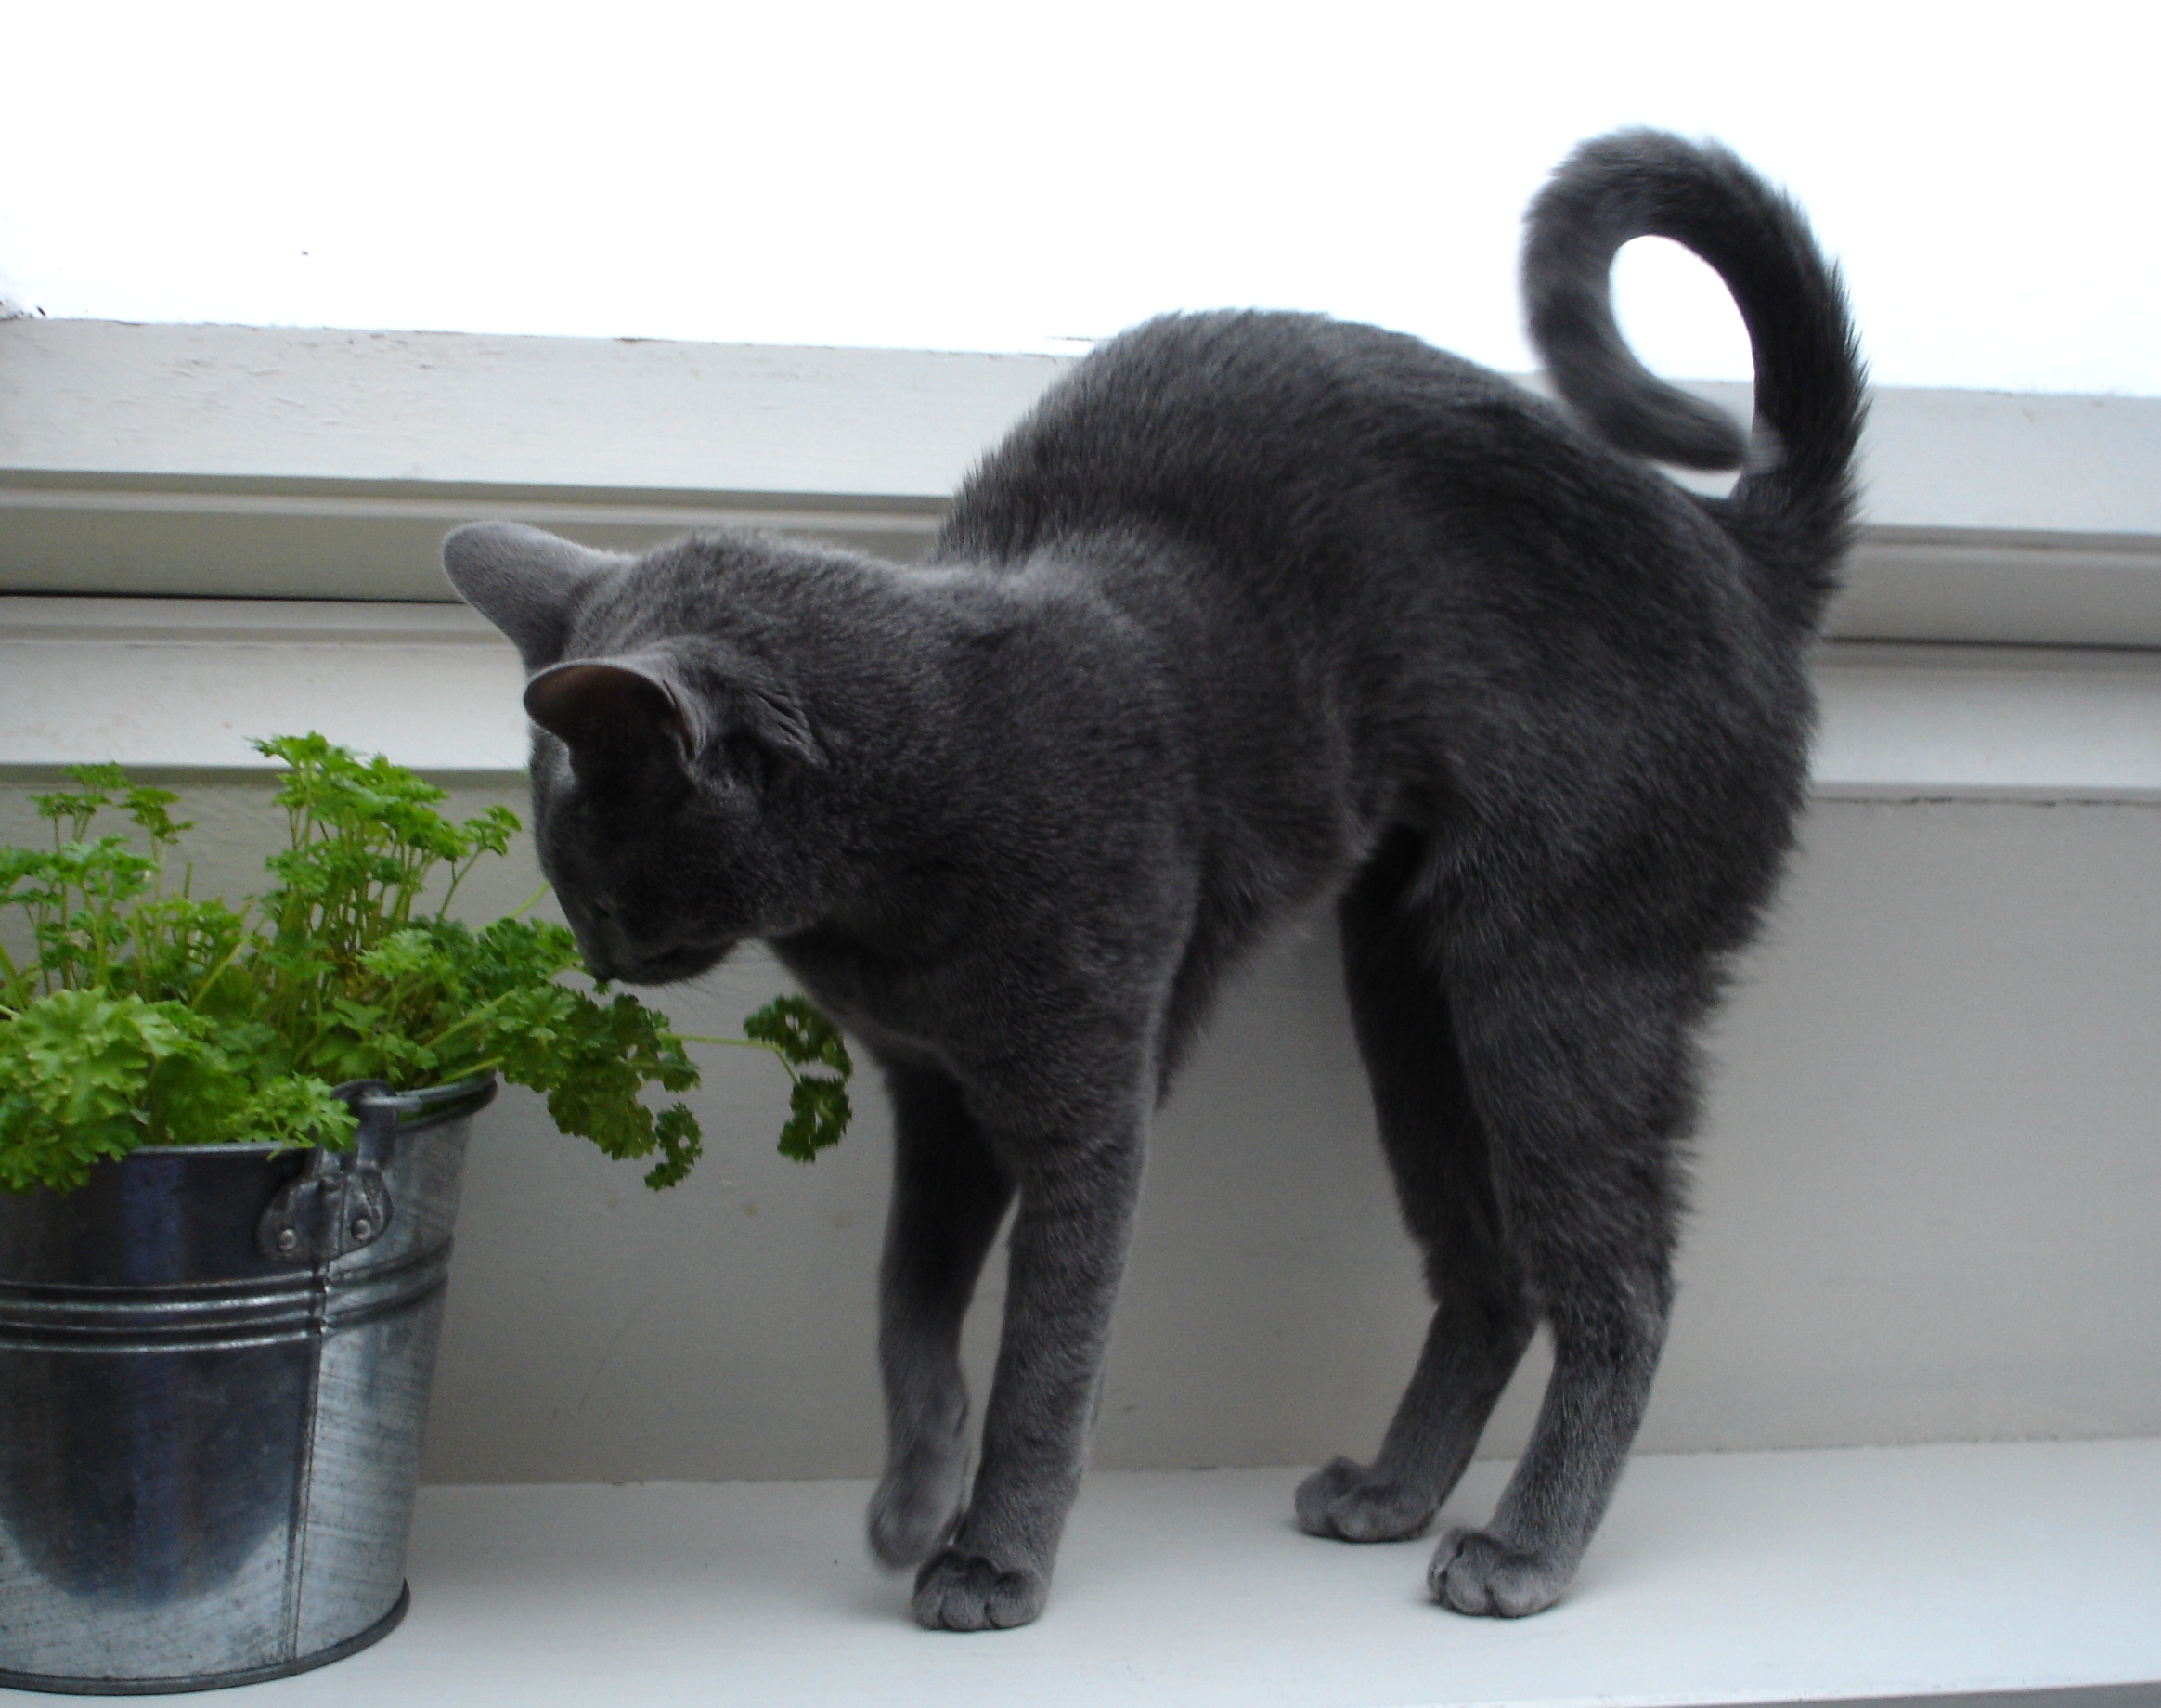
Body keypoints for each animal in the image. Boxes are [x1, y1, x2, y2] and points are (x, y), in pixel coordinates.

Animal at [438, 130, 1858, 1634]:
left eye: (597, 874)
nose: (597, 954)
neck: (892, 891)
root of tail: (1743, 551)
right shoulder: (934, 1100)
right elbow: (906, 1306)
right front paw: (908, 1502)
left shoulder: (1086, 1103)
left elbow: (1047, 1353)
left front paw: (993, 1558)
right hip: (1401, 987)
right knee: (1489, 1276)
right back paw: (1389, 1494)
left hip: (1555, 963)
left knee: (1623, 1281)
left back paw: (1522, 1548)